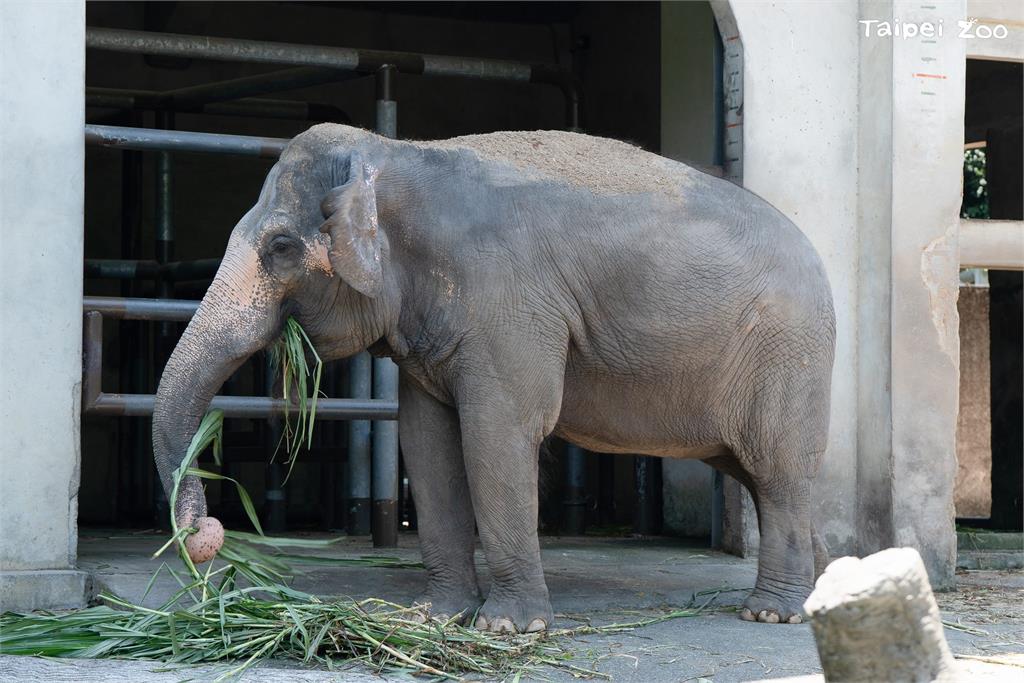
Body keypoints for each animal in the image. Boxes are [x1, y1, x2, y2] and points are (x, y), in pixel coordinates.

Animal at [153, 122, 839, 634]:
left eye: (280, 248)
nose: (207, 537)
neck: (397, 154)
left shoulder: (510, 302)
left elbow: (498, 432)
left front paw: (508, 629)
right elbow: (427, 445)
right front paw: (436, 617)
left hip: (787, 353)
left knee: (775, 470)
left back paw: (770, 613)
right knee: (763, 475)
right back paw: (819, 592)